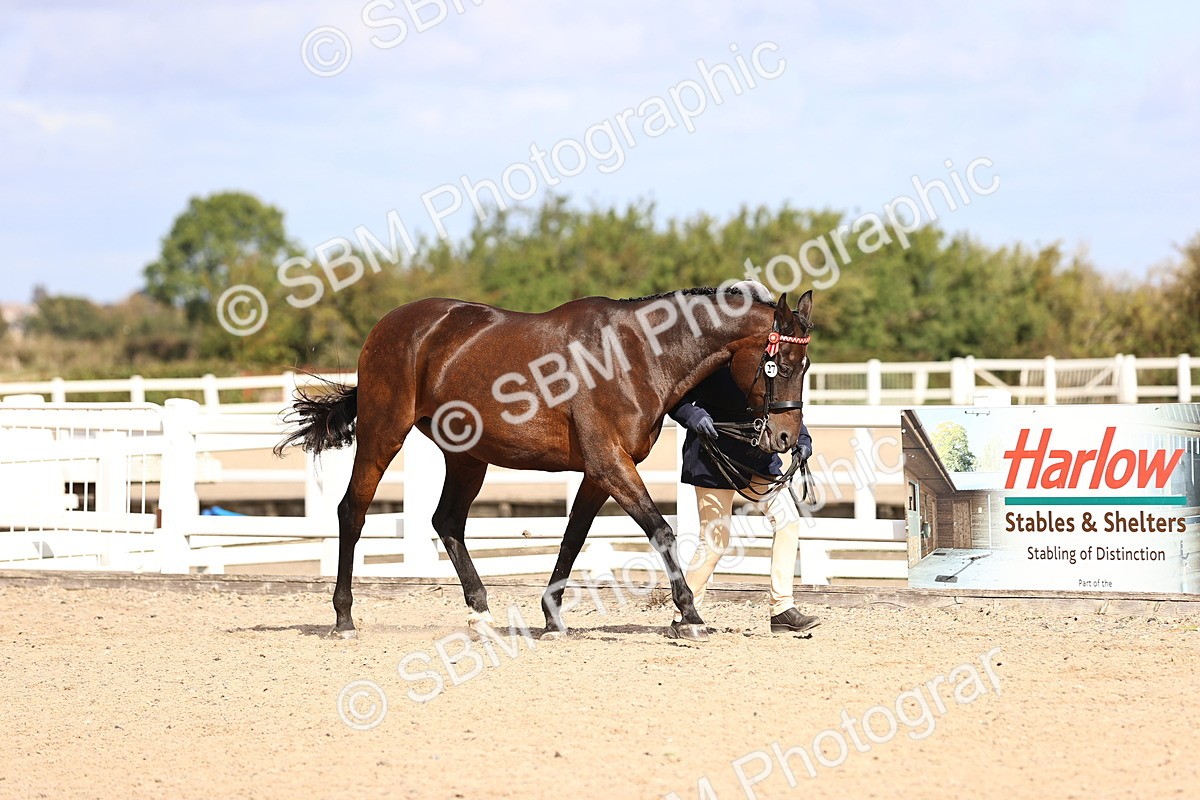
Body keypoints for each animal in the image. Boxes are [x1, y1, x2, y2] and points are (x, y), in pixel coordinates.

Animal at [278, 285, 814, 642]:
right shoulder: (611, 465)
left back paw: (481, 615)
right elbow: (660, 531)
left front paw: (553, 617)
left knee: (446, 521)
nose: (787, 438)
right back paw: (344, 619)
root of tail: (389, 326)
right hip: (383, 433)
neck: (634, 355)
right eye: (781, 366)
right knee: (353, 511)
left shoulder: (599, 473)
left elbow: (573, 538)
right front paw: (690, 616)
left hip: (467, 457)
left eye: (807, 366)